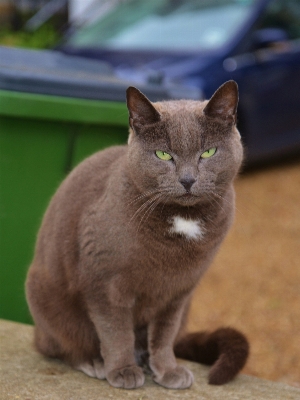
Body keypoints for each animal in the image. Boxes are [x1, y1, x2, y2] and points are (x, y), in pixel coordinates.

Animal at [26, 79, 248, 390]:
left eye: (208, 153)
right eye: (164, 154)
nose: (188, 179)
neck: (183, 220)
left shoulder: (178, 293)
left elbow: (164, 335)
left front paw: (167, 370)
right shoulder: (105, 283)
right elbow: (116, 331)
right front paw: (122, 370)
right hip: (45, 298)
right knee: (59, 345)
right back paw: (95, 362)